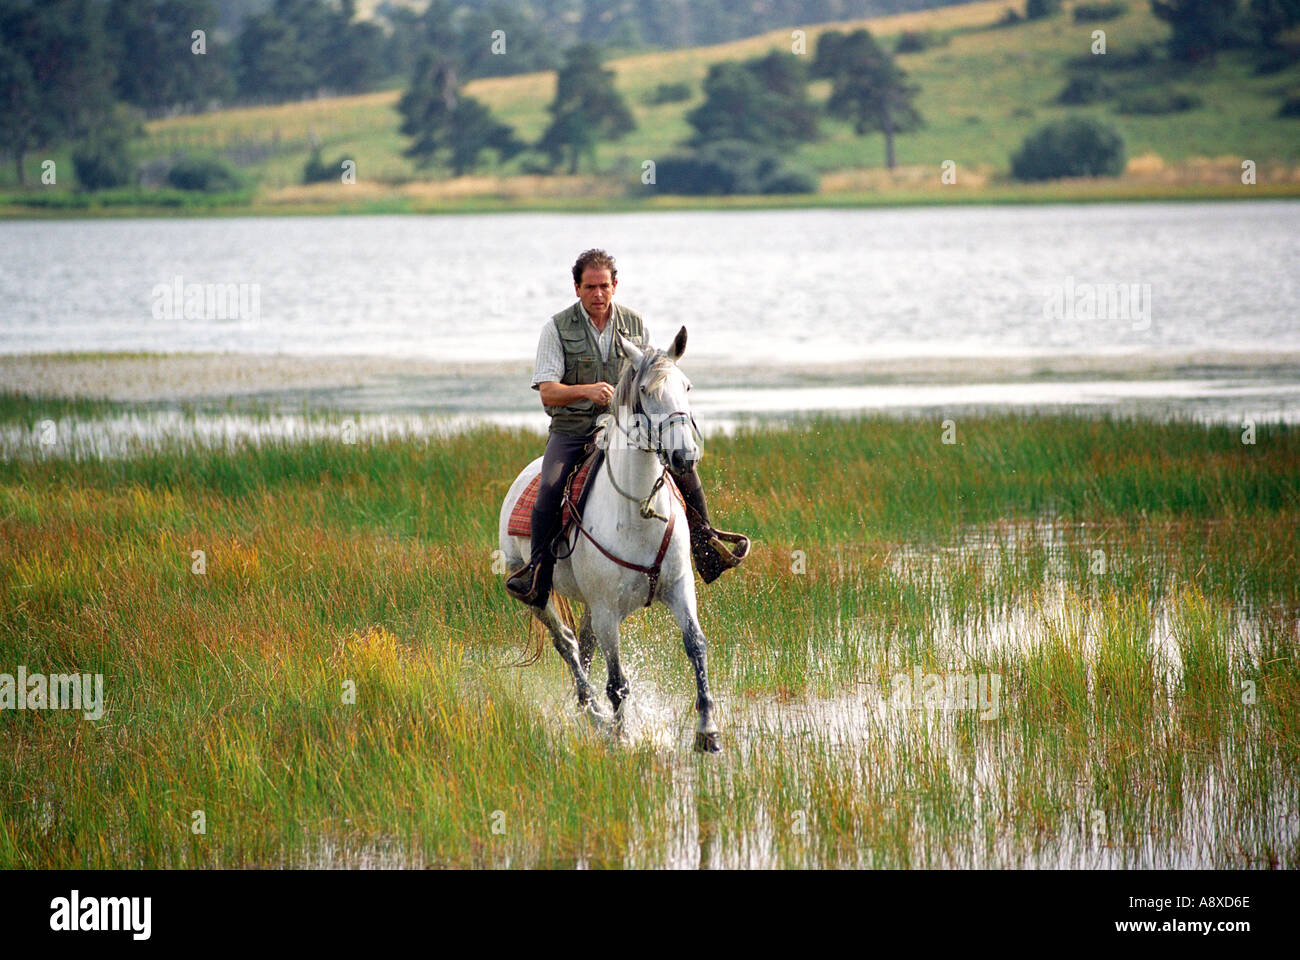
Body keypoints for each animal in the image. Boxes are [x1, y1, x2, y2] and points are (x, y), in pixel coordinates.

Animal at [497, 326, 720, 752]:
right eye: (646, 390)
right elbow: (617, 681)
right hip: (539, 594)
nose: (685, 457)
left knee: (582, 646)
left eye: (686, 385)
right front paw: (621, 735)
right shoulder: (606, 610)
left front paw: (708, 732)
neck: (637, 513)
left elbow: (697, 647)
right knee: (567, 644)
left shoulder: (679, 587)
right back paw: (596, 716)